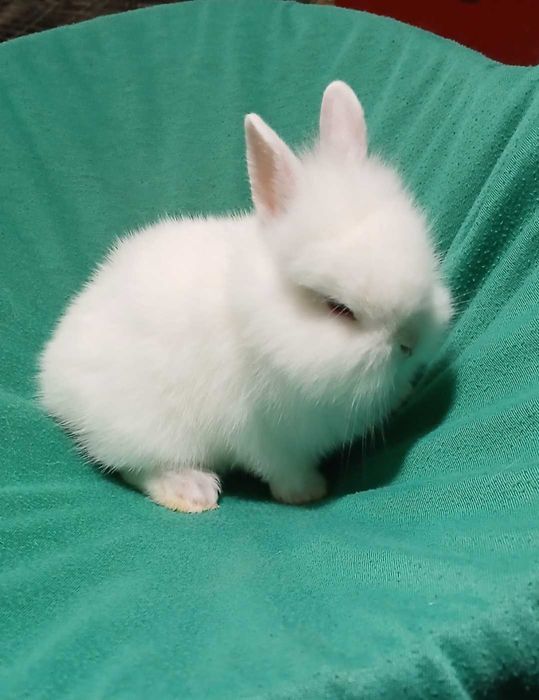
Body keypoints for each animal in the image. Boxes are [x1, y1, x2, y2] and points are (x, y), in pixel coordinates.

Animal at [38, 81, 452, 514]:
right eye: (338, 308)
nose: (409, 343)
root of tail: (52, 376)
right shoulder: (263, 434)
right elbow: (282, 467)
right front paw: (307, 492)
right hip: (147, 427)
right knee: (136, 467)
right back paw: (192, 491)